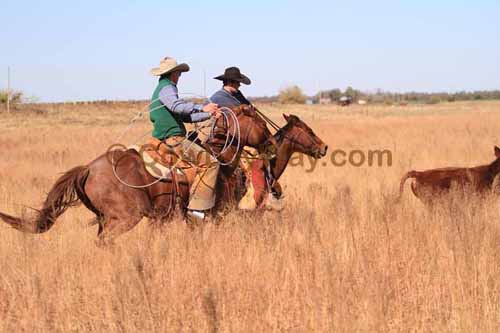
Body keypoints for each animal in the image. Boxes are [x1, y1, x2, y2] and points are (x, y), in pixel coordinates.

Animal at [0, 105, 274, 243]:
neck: (221, 158)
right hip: (125, 218)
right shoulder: (215, 214)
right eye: (260, 123)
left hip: (108, 219)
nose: (272, 142)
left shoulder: (163, 219)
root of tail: (88, 168)